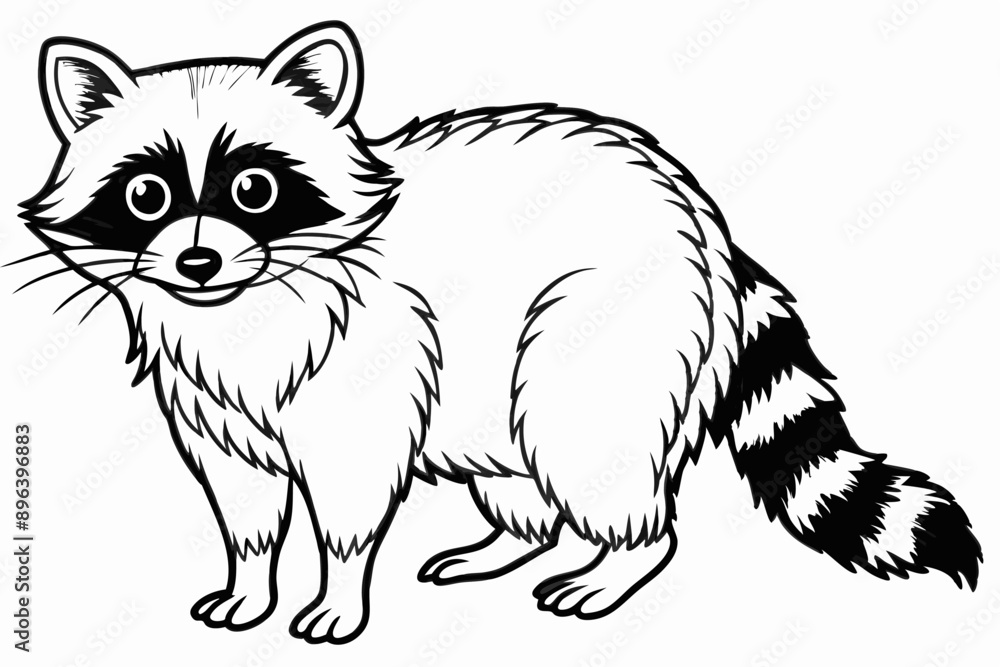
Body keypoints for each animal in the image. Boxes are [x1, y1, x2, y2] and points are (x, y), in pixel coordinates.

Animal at [18, 21, 981, 644]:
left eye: (253, 188)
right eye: (146, 195)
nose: (198, 262)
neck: (242, 304)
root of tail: (705, 224)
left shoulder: (367, 361)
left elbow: (349, 498)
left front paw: (337, 589)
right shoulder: (209, 395)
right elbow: (244, 496)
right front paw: (249, 580)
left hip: (605, 335)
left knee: (594, 454)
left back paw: (619, 559)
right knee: (522, 476)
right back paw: (510, 540)